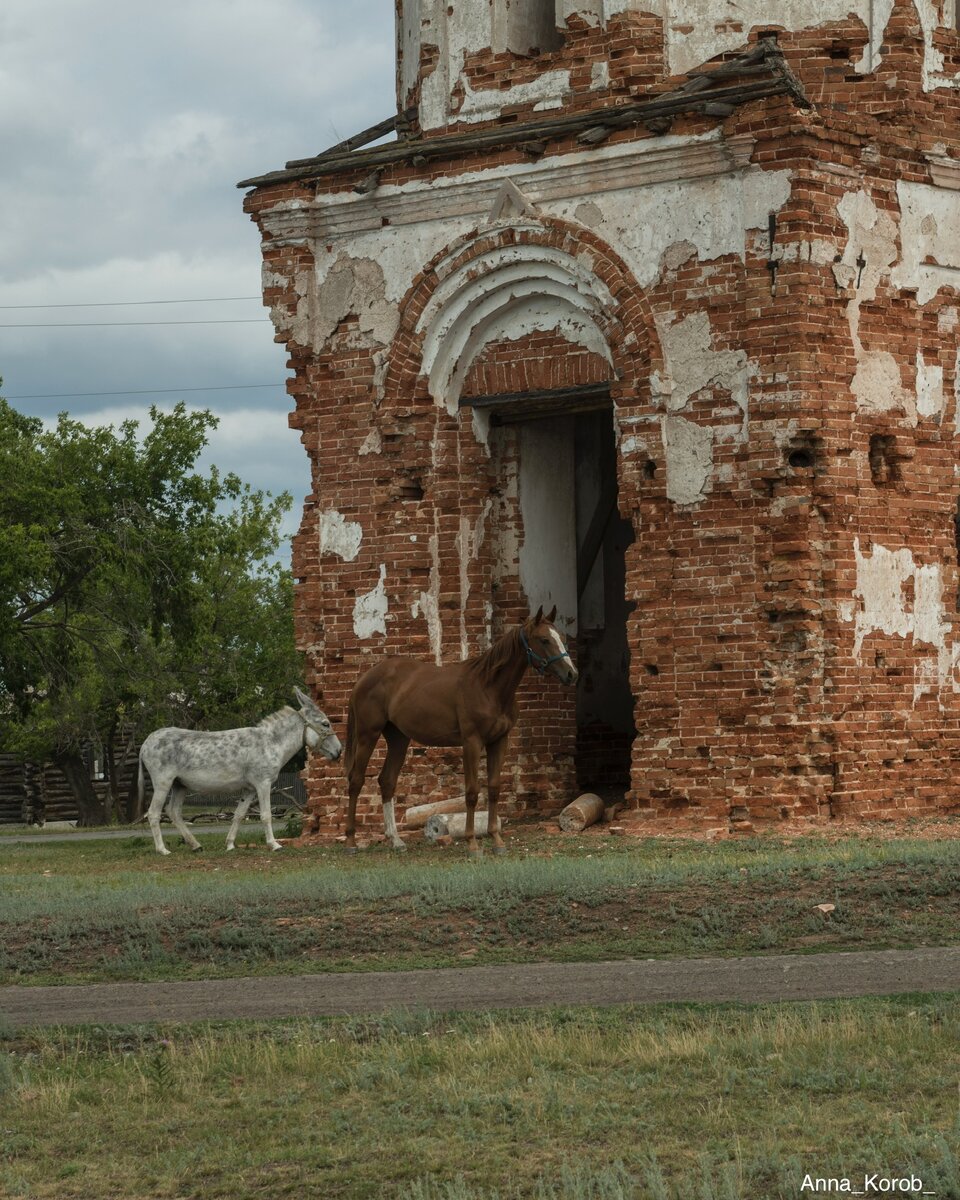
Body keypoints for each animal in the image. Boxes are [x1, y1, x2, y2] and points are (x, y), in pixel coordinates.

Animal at [345, 609, 578, 854]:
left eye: (561, 637)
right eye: (544, 640)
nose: (572, 674)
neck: (489, 688)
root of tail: (364, 678)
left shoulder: (499, 741)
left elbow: (494, 789)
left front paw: (496, 840)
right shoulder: (471, 742)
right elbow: (472, 792)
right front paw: (472, 843)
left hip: (398, 739)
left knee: (387, 781)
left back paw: (396, 840)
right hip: (367, 736)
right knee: (356, 781)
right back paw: (351, 842)